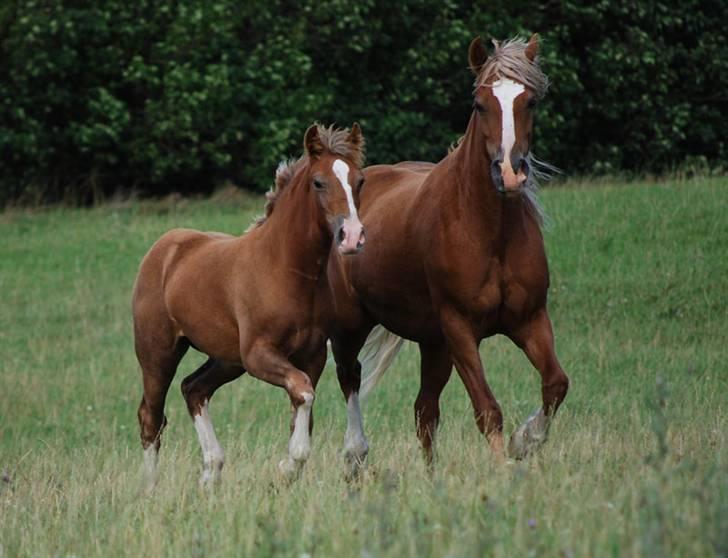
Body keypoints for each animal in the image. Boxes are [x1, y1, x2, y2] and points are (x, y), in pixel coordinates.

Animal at [132, 124, 364, 488]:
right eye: (318, 182)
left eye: (360, 181)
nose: (352, 236)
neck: (285, 270)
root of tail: (164, 247)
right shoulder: (258, 354)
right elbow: (304, 393)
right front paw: (288, 466)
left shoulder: (312, 355)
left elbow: (302, 406)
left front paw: (287, 470)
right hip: (158, 354)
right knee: (151, 418)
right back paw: (152, 488)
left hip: (227, 359)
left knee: (193, 389)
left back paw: (210, 473)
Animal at [328, 35, 568, 472]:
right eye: (480, 103)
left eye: (530, 101)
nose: (510, 173)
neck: (490, 233)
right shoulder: (460, 328)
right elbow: (488, 409)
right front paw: (504, 468)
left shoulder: (529, 319)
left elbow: (555, 383)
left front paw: (524, 442)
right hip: (352, 324)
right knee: (350, 378)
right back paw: (354, 456)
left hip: (433, 342)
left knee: (424, 411)